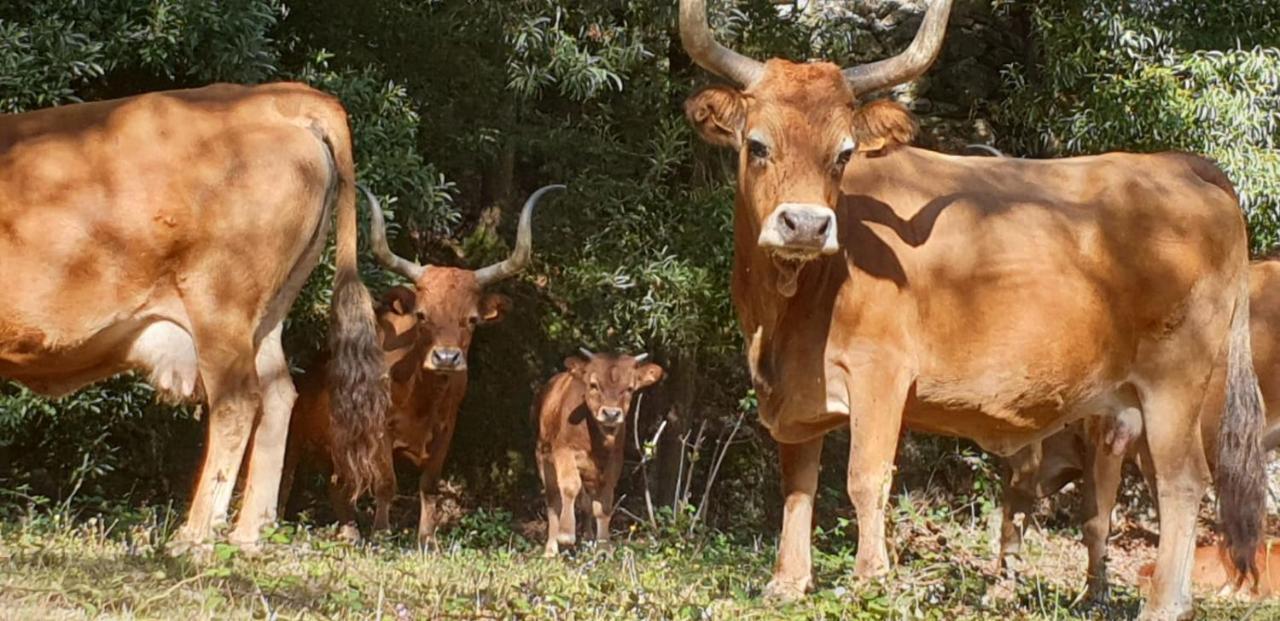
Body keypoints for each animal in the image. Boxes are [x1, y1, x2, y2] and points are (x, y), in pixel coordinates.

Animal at [1, 83, 389, 553]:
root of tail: (277, 95)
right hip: (265, 316)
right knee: (278, 396)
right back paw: (247, 534)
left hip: (219, 306)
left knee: (237, 403)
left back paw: (195, 535)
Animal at [282, 184, 563, 542]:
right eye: (422, 315)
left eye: (471, 319)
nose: (446, 357)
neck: (422, 398)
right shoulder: (380, 431)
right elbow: (386, 484)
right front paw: (382, 534)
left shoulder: (446, 429)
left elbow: (429, 486)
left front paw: (427, 539)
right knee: (286, 479)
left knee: (338, 484)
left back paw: (349, 530)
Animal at [535, 350, 665, 553]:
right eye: (594, 385)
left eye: (629, 388)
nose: (611, 414)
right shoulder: (563, 451)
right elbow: (569, 487)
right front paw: (566, 534)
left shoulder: (615, 461)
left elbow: (603, 504)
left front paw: (604, 547)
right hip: (543, 457)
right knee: (553, 499)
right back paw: (551, 548)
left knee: (586, 504)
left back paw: (588, 539)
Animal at [675, 2, 1264, 617]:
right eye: (757, 145)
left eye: (843, 154)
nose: (807, 225)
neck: (787, 313)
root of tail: (1184, 164)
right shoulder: (794, 396)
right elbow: (797, 483)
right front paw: (787, 582)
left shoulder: (880, 373)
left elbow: (865, 477)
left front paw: (868, 581)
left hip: (1176, 383)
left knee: (1182, 482)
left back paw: (1163, 603)